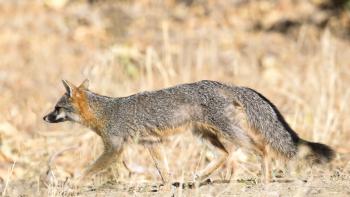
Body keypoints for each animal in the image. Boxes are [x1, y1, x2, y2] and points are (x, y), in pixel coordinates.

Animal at [43, 79, 334, 183]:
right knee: (225, 155)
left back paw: (265, 178)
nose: (44, 117)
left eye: (56, 108)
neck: (106, 111)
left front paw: (72, 183)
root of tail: (225, 84)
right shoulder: (151, 143)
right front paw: (167, 183)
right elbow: (161, 168)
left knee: (260, 149)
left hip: (228, 133)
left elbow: (89, 169)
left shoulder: (114, 148)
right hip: (205, 135)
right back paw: (200, 177)